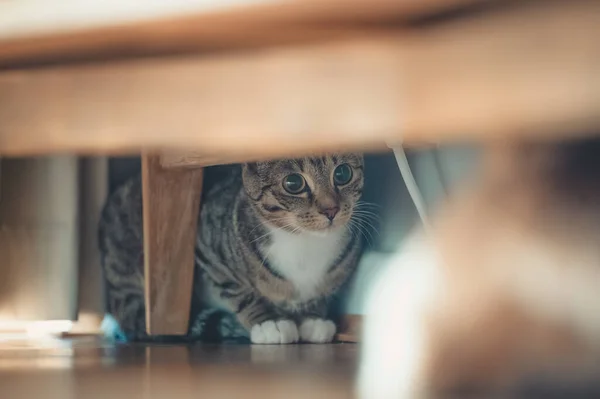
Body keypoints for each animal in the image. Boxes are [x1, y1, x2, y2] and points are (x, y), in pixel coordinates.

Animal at [97, 153, 366, 344]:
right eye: (293, 183)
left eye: (343, 173)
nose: (331, 210)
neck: (303, 242)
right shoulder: (207, 251)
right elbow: (241, 292)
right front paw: (268, 323)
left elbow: (321, 293)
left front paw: (313, 318)